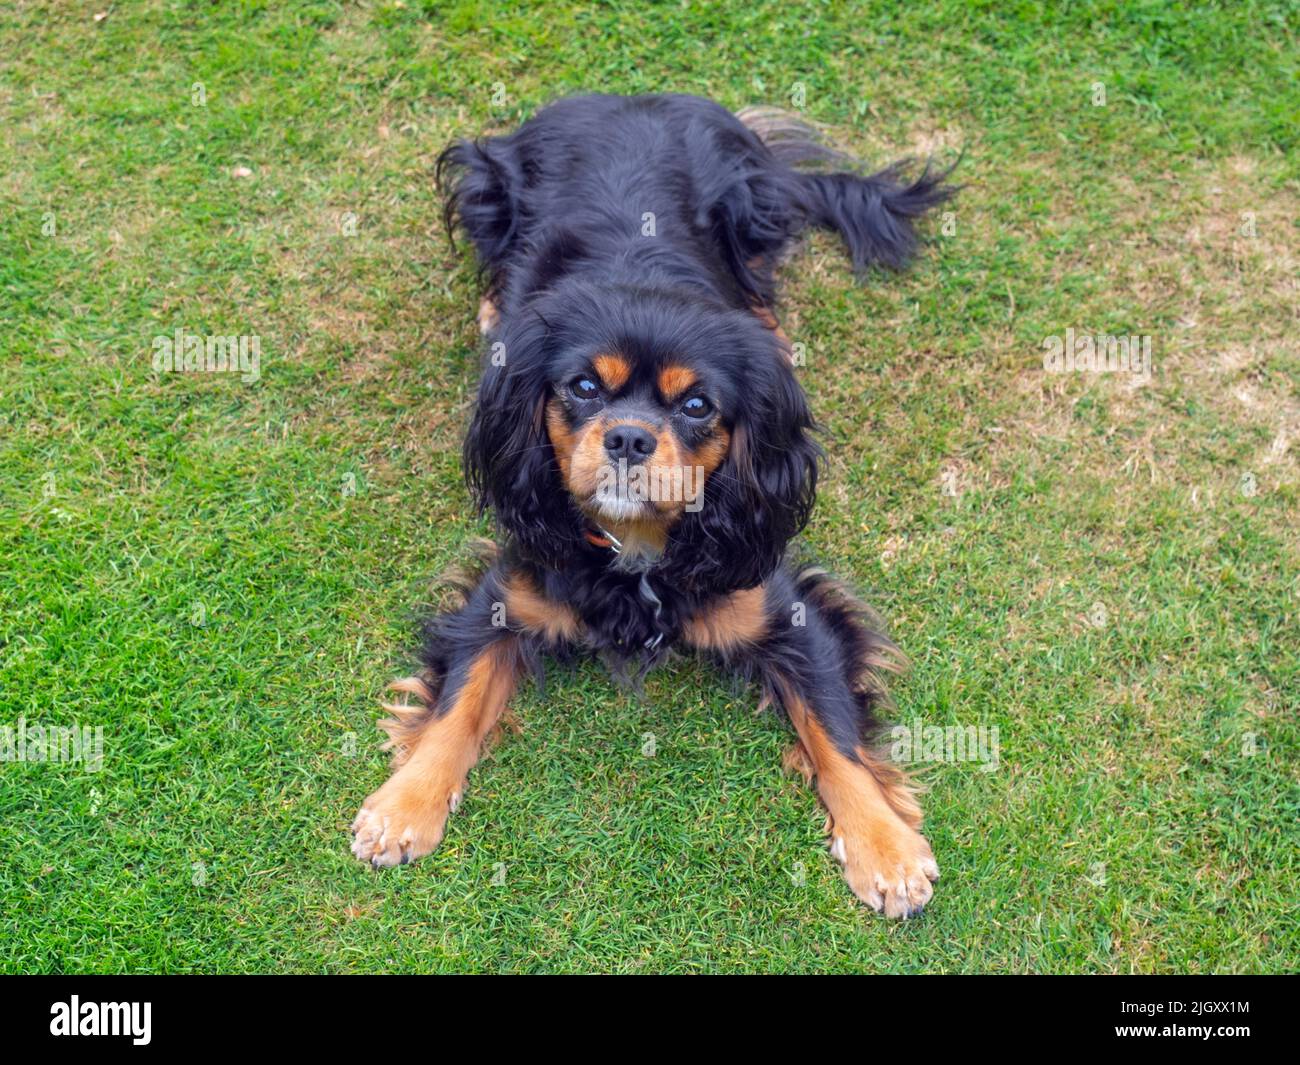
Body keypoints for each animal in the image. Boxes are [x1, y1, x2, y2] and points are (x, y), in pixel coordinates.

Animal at [348, 95, 956, 920]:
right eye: (582, 387)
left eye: (696, 404)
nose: (630, 437)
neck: (637, 543)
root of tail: (632, 97)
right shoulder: (508, 587)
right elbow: (456, 700)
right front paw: (402, 805)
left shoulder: (789, 603)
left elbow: (833, 725)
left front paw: (884, 846)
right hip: (482, 182)